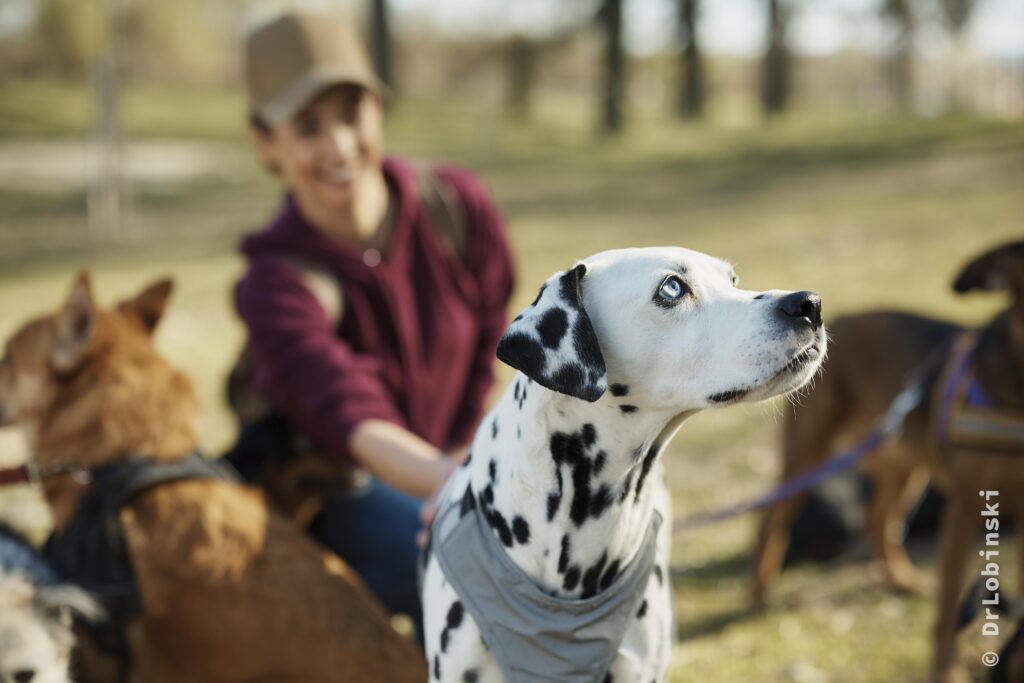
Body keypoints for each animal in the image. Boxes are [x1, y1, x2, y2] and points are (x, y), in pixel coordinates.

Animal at [749, 240, 1024, 683]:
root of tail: (841, 317)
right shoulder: (965, 507)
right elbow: (948, 609)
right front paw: (946, 671)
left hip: (904, 468)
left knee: (877, 521)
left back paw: (900, 580)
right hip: (808, 459)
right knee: (771, 523)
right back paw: (757, 596)